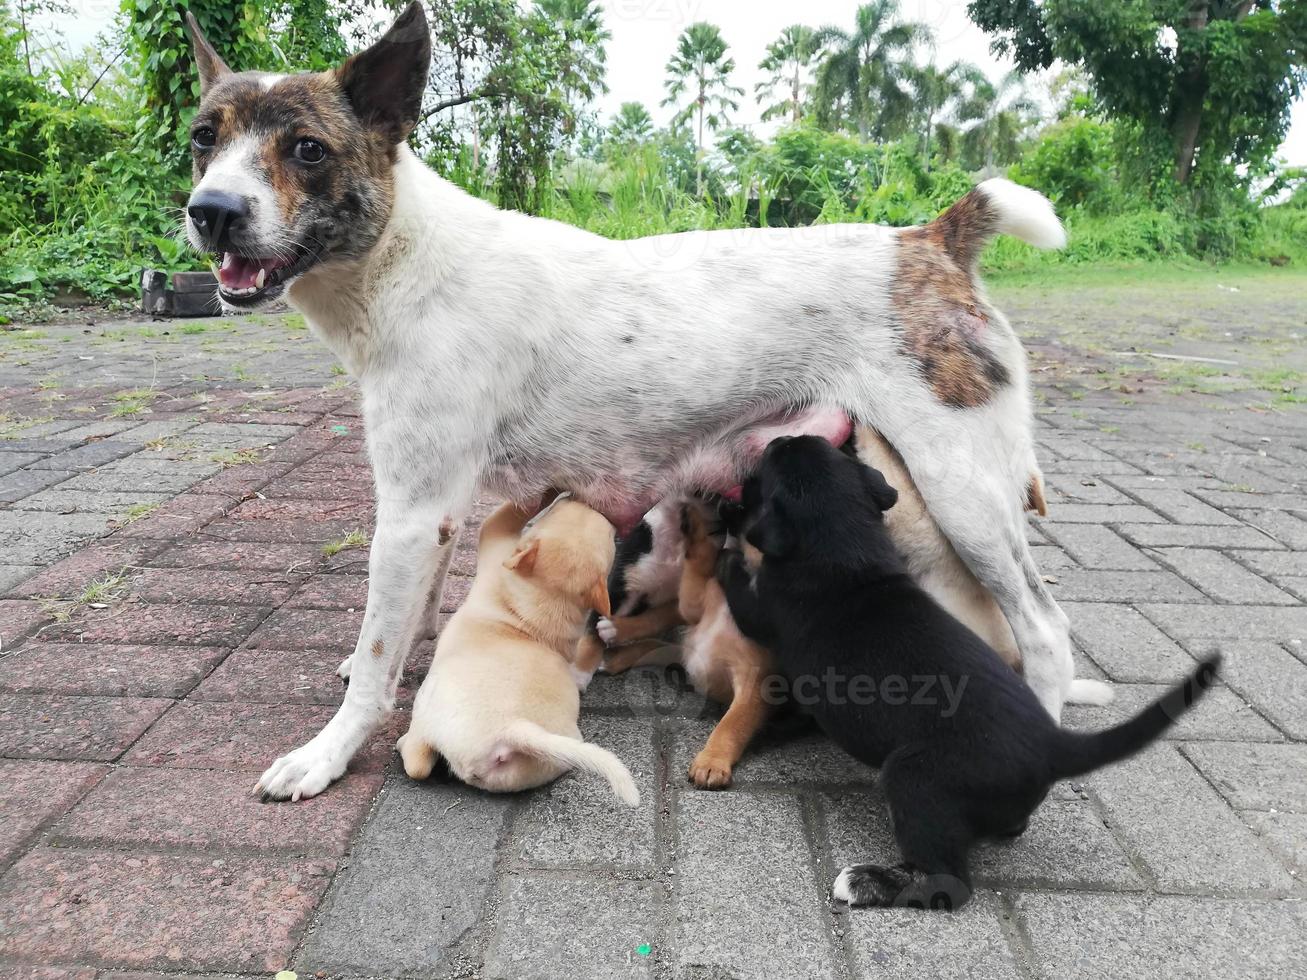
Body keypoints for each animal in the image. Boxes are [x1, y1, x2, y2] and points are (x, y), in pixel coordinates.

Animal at [399, 501, 640, 810]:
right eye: (610, 538)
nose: (582, 499)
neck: (535, 609)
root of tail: (513, 730)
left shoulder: (495, 545)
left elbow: (503, 516)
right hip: (548, 759)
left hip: (428, 710)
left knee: (417, 761)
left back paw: (403, 744)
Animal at [721, 436, 1218, 914]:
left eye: (774, 458)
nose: (776, 437)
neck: (847, 549)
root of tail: (1051, 745)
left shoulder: (764, 610)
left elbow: (739, 593)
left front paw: (725, 548)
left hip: (916, 778)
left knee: (950, 883)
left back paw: (870, 882)